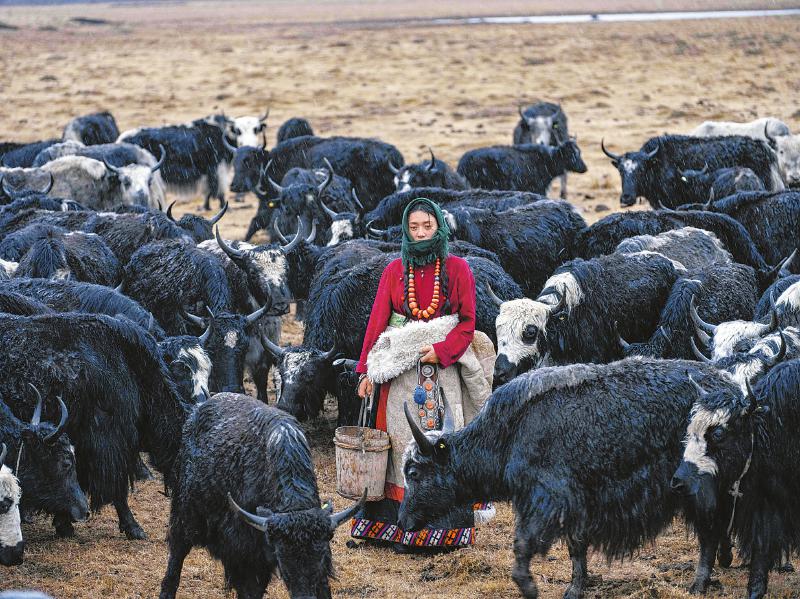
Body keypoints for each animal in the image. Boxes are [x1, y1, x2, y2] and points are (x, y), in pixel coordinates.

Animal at [159, 393, 364, 599]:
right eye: (284, 564)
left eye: (319, 558)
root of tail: (197, 411)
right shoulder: (248, 555)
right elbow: (251, 589)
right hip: (184, 514)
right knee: (177, 553)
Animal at [399, 358, 740, 598]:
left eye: (414, 473)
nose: (403, 522)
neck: (508, 433)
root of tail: (729, 387)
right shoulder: (578, 502)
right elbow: (576, 547)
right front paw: (576, 587)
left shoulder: (548, 498)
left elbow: (524, 542)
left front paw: (528, 587)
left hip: (697, 488)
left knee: (709, 532)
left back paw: (699, 583)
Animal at [457, 139, 587, 197]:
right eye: (572, 154)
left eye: (579, 152)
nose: (584, 168)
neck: (548, 159)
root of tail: (462, 163)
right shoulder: (537, 189)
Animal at [672, 360, 800, 598]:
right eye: (689, 430)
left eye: (718, 434)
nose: (679, 483)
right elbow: (711, 541)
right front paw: (698, 585)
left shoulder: (771, 502)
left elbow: (762, 543)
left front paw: (755, 590)